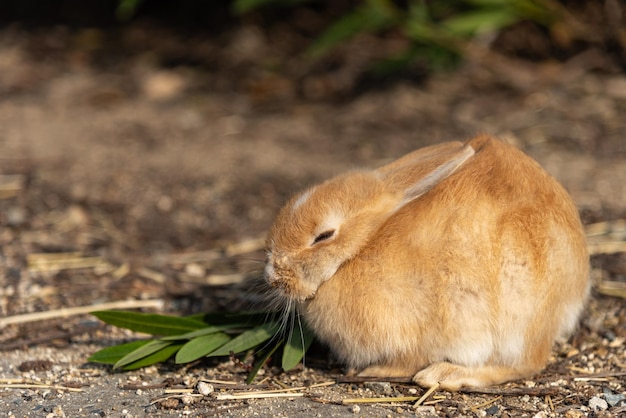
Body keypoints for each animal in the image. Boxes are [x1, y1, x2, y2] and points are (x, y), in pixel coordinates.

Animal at [262, 136, 584, 390]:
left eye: (323, 236)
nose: (272, 276)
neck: (360, 249)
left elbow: (407, 359)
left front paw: (376, 370)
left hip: (516, 316)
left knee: (526, 364)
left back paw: (444, 375)